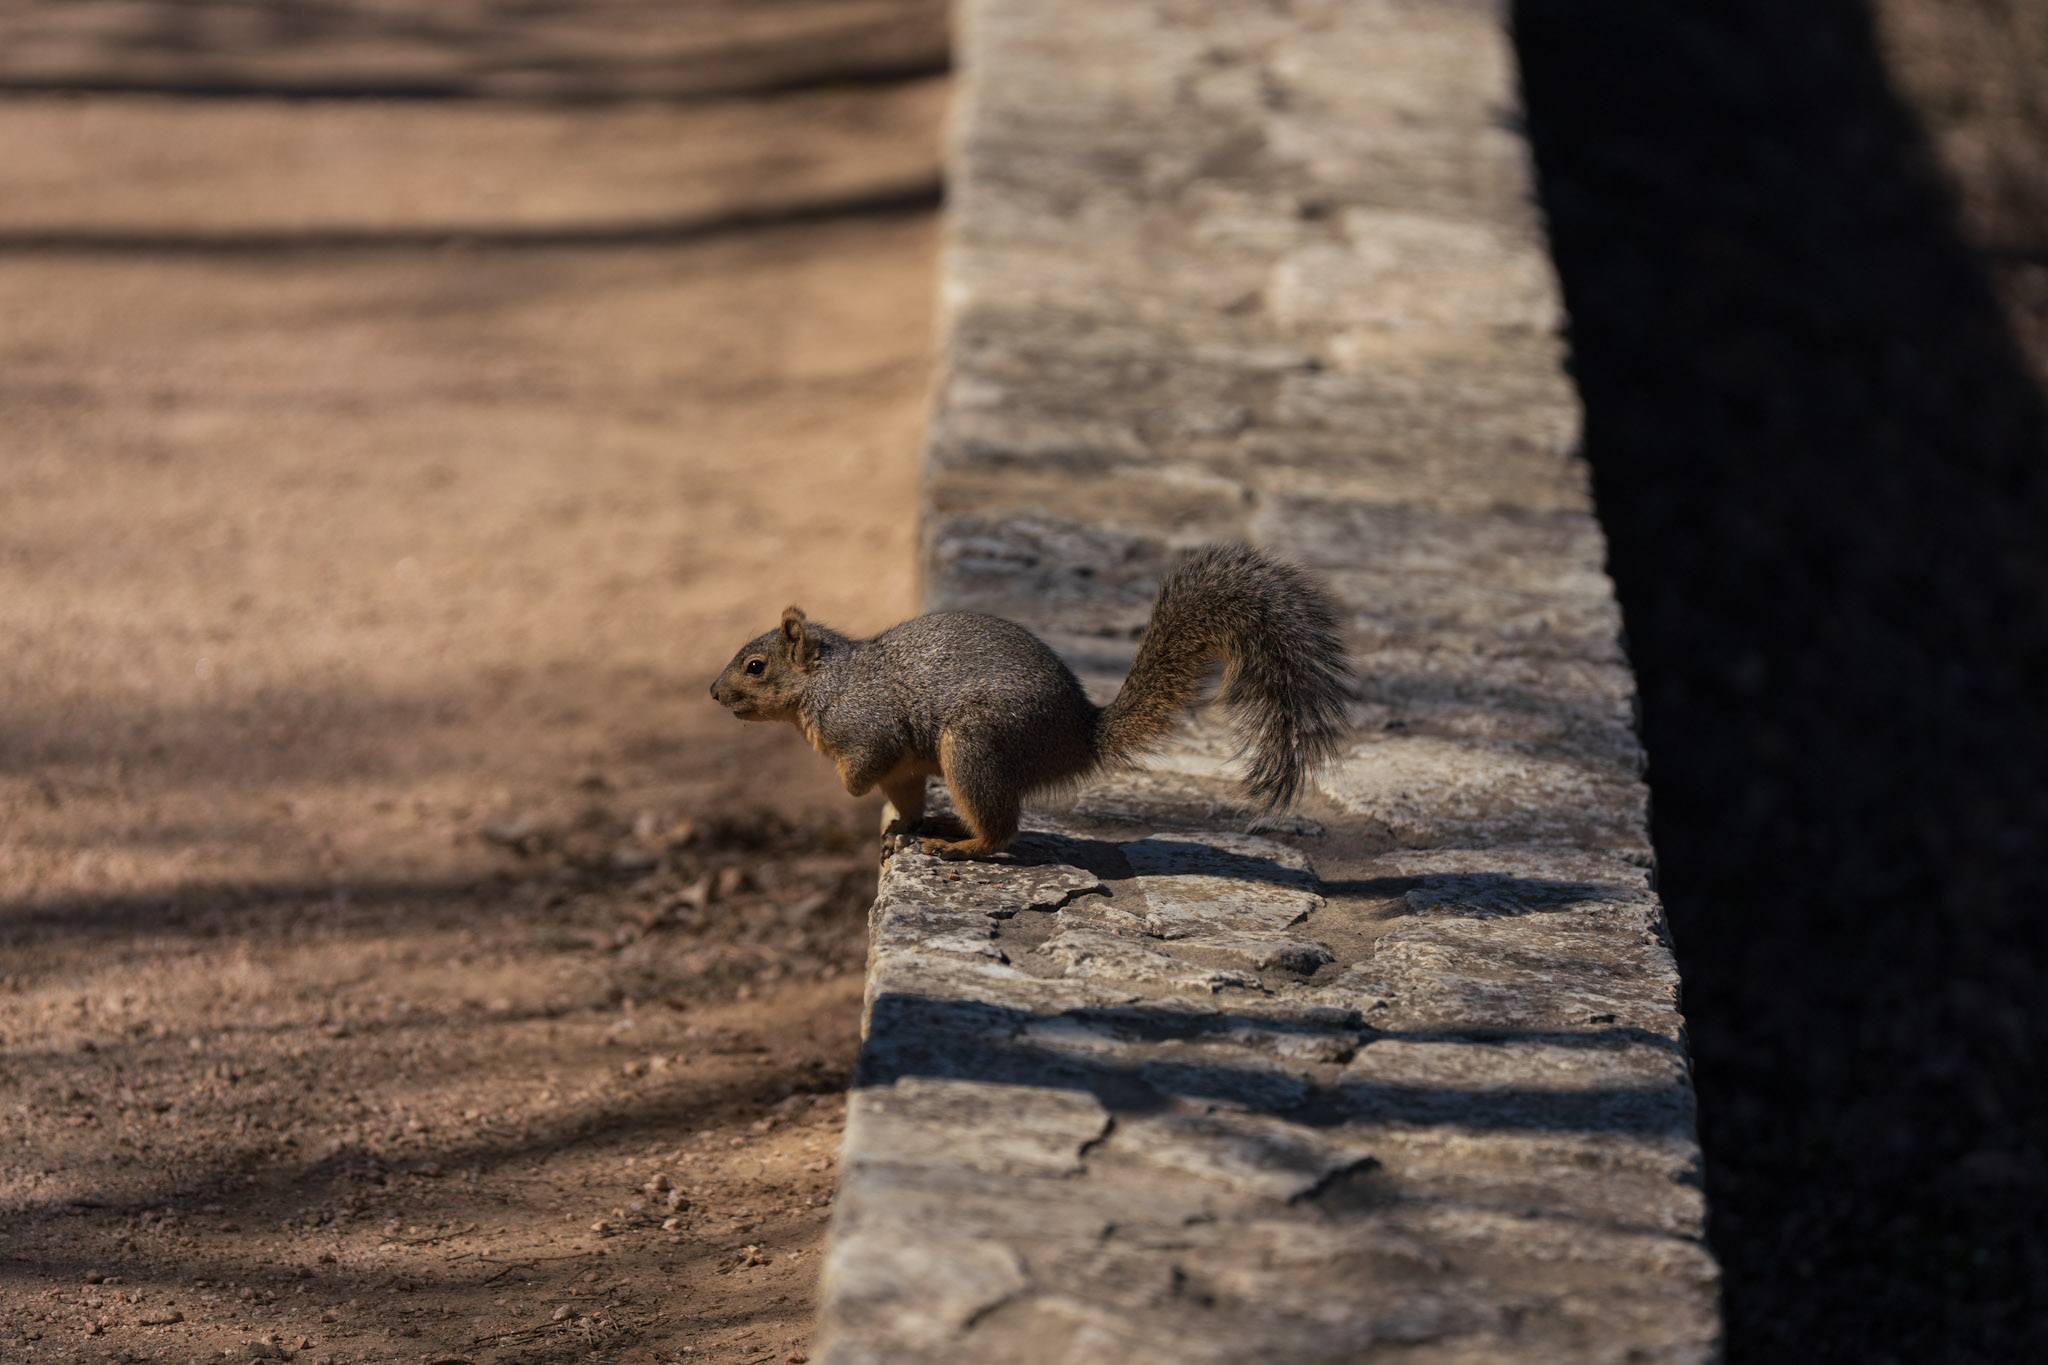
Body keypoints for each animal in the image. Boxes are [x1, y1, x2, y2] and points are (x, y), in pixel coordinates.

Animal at [709, 542, 1352, 859]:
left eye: (755, 667)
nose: (714, 692)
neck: (826, 683)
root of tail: (1079, 737)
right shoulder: (907, 772)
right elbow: (905, 798)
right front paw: (902, 828)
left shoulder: (869, 730)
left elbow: (865, 766)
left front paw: (851, 791)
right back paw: (942, 826)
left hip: (974, 746)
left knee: (1003, 830)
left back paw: (962, 846)